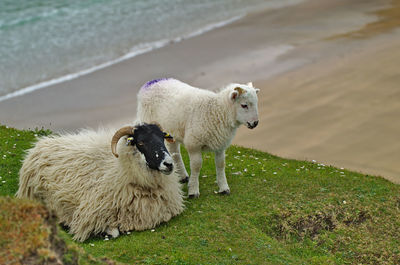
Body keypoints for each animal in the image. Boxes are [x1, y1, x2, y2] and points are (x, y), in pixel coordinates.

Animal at [15, 122, 184, 240]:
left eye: (162, 138)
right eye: (141, 142)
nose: (169, 164)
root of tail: (39, 145)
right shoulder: (90, 212)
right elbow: (114, 232)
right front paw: (105, 232)